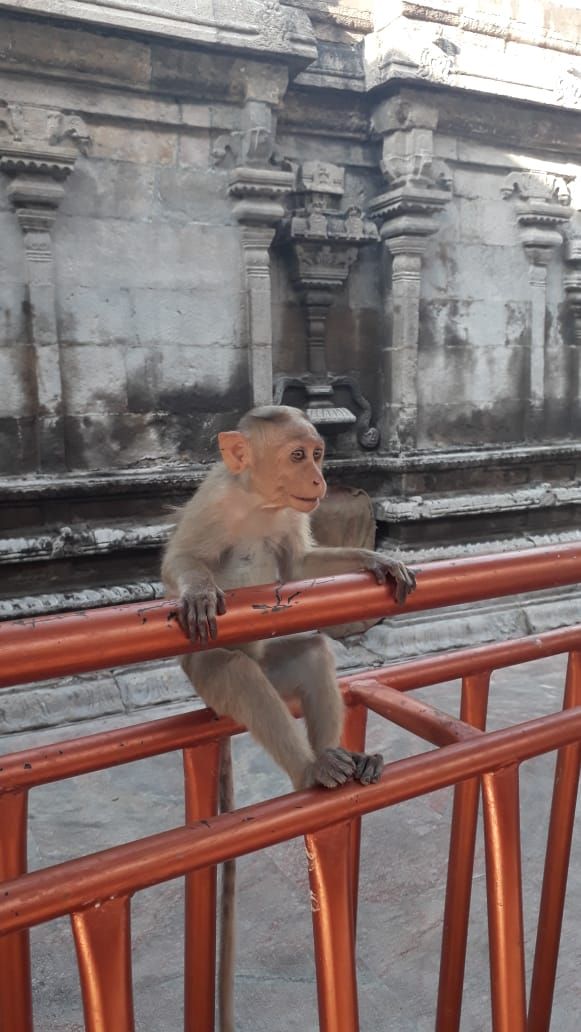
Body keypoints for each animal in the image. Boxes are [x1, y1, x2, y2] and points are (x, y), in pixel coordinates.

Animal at [161, 405, 416, 1031]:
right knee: (237, 675)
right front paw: (197, 589)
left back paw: (341, 760)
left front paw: (378, 558)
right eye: (299, 456)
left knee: (310, 652)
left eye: (319, 455)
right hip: (206, 676)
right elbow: (181, 561)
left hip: (279, 662)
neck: (260, 502)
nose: (321, 480)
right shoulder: (214, 499)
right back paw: (310, 771)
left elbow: (299, 565)